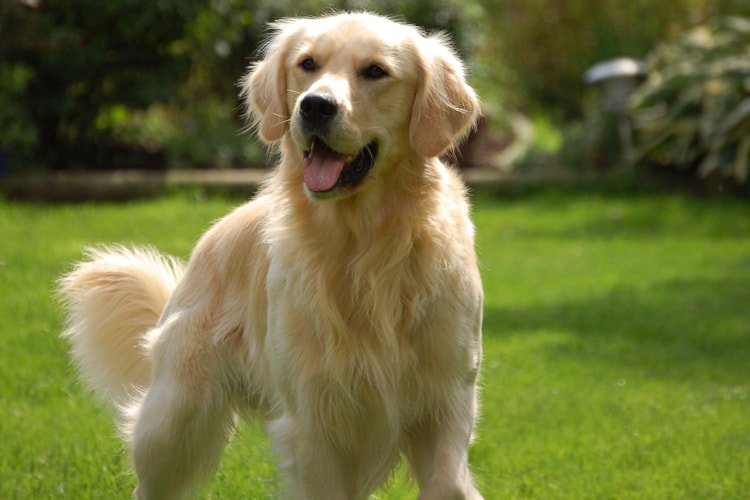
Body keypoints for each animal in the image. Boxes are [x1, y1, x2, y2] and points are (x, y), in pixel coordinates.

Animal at [57, 11, 482, 500]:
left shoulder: (446, 403)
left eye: (375, 71)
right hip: (173, 420)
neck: (364, 247)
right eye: (307, 64)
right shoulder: (314, 420)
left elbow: (448, 483)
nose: (315, 106)